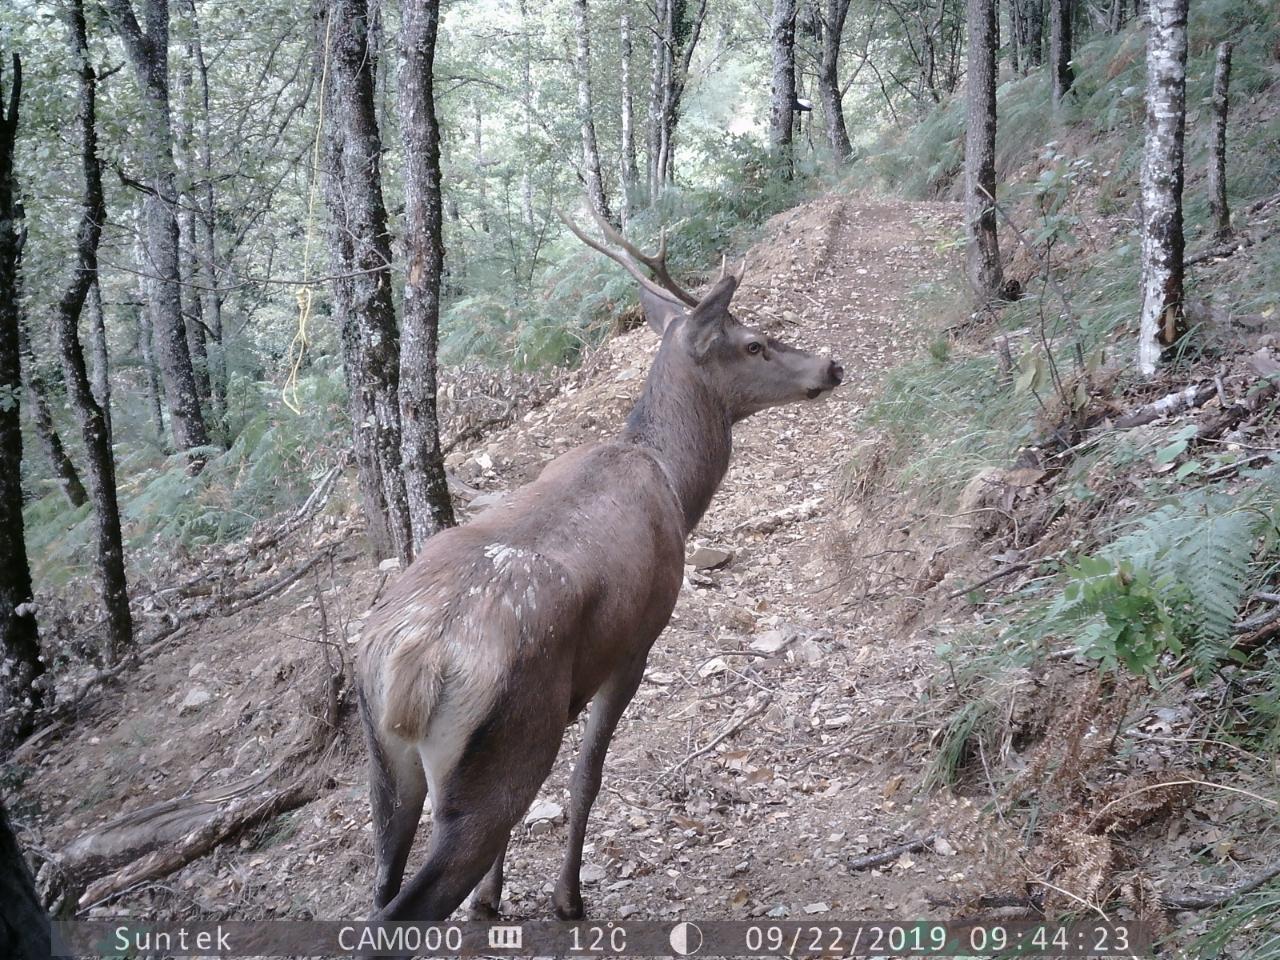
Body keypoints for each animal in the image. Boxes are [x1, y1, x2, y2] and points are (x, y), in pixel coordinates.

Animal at [355, 208, 844, 926]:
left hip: (388, 763)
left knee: (382, 877)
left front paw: (492, 899)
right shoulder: (635, 642)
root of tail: (413, 663)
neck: (673, 483)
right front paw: (567, 898)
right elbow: (586, 778)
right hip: (507, 735)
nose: (831, 365)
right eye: (755, 343)